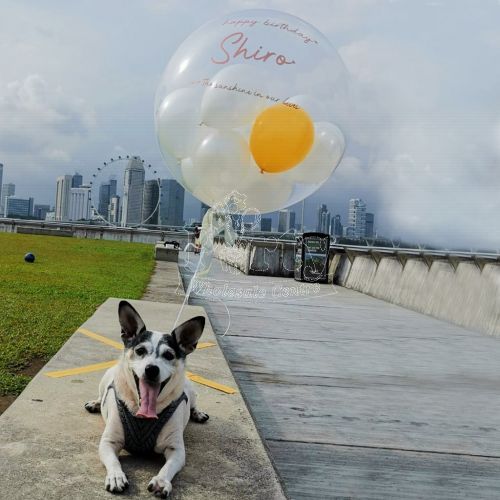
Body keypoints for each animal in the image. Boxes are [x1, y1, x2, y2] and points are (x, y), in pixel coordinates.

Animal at [85, 300, 209, 496]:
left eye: (169, 355)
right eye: (140, 350)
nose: (151, 369)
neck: (143, 415)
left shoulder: (176, 450)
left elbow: (168, 466)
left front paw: (161, 480)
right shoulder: (108, 442)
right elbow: (113, 460)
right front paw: (116, 476)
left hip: (191, 390)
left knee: (194, 404)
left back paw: (198, 413)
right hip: (104, 379)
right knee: (101, 393)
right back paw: (96, 403)